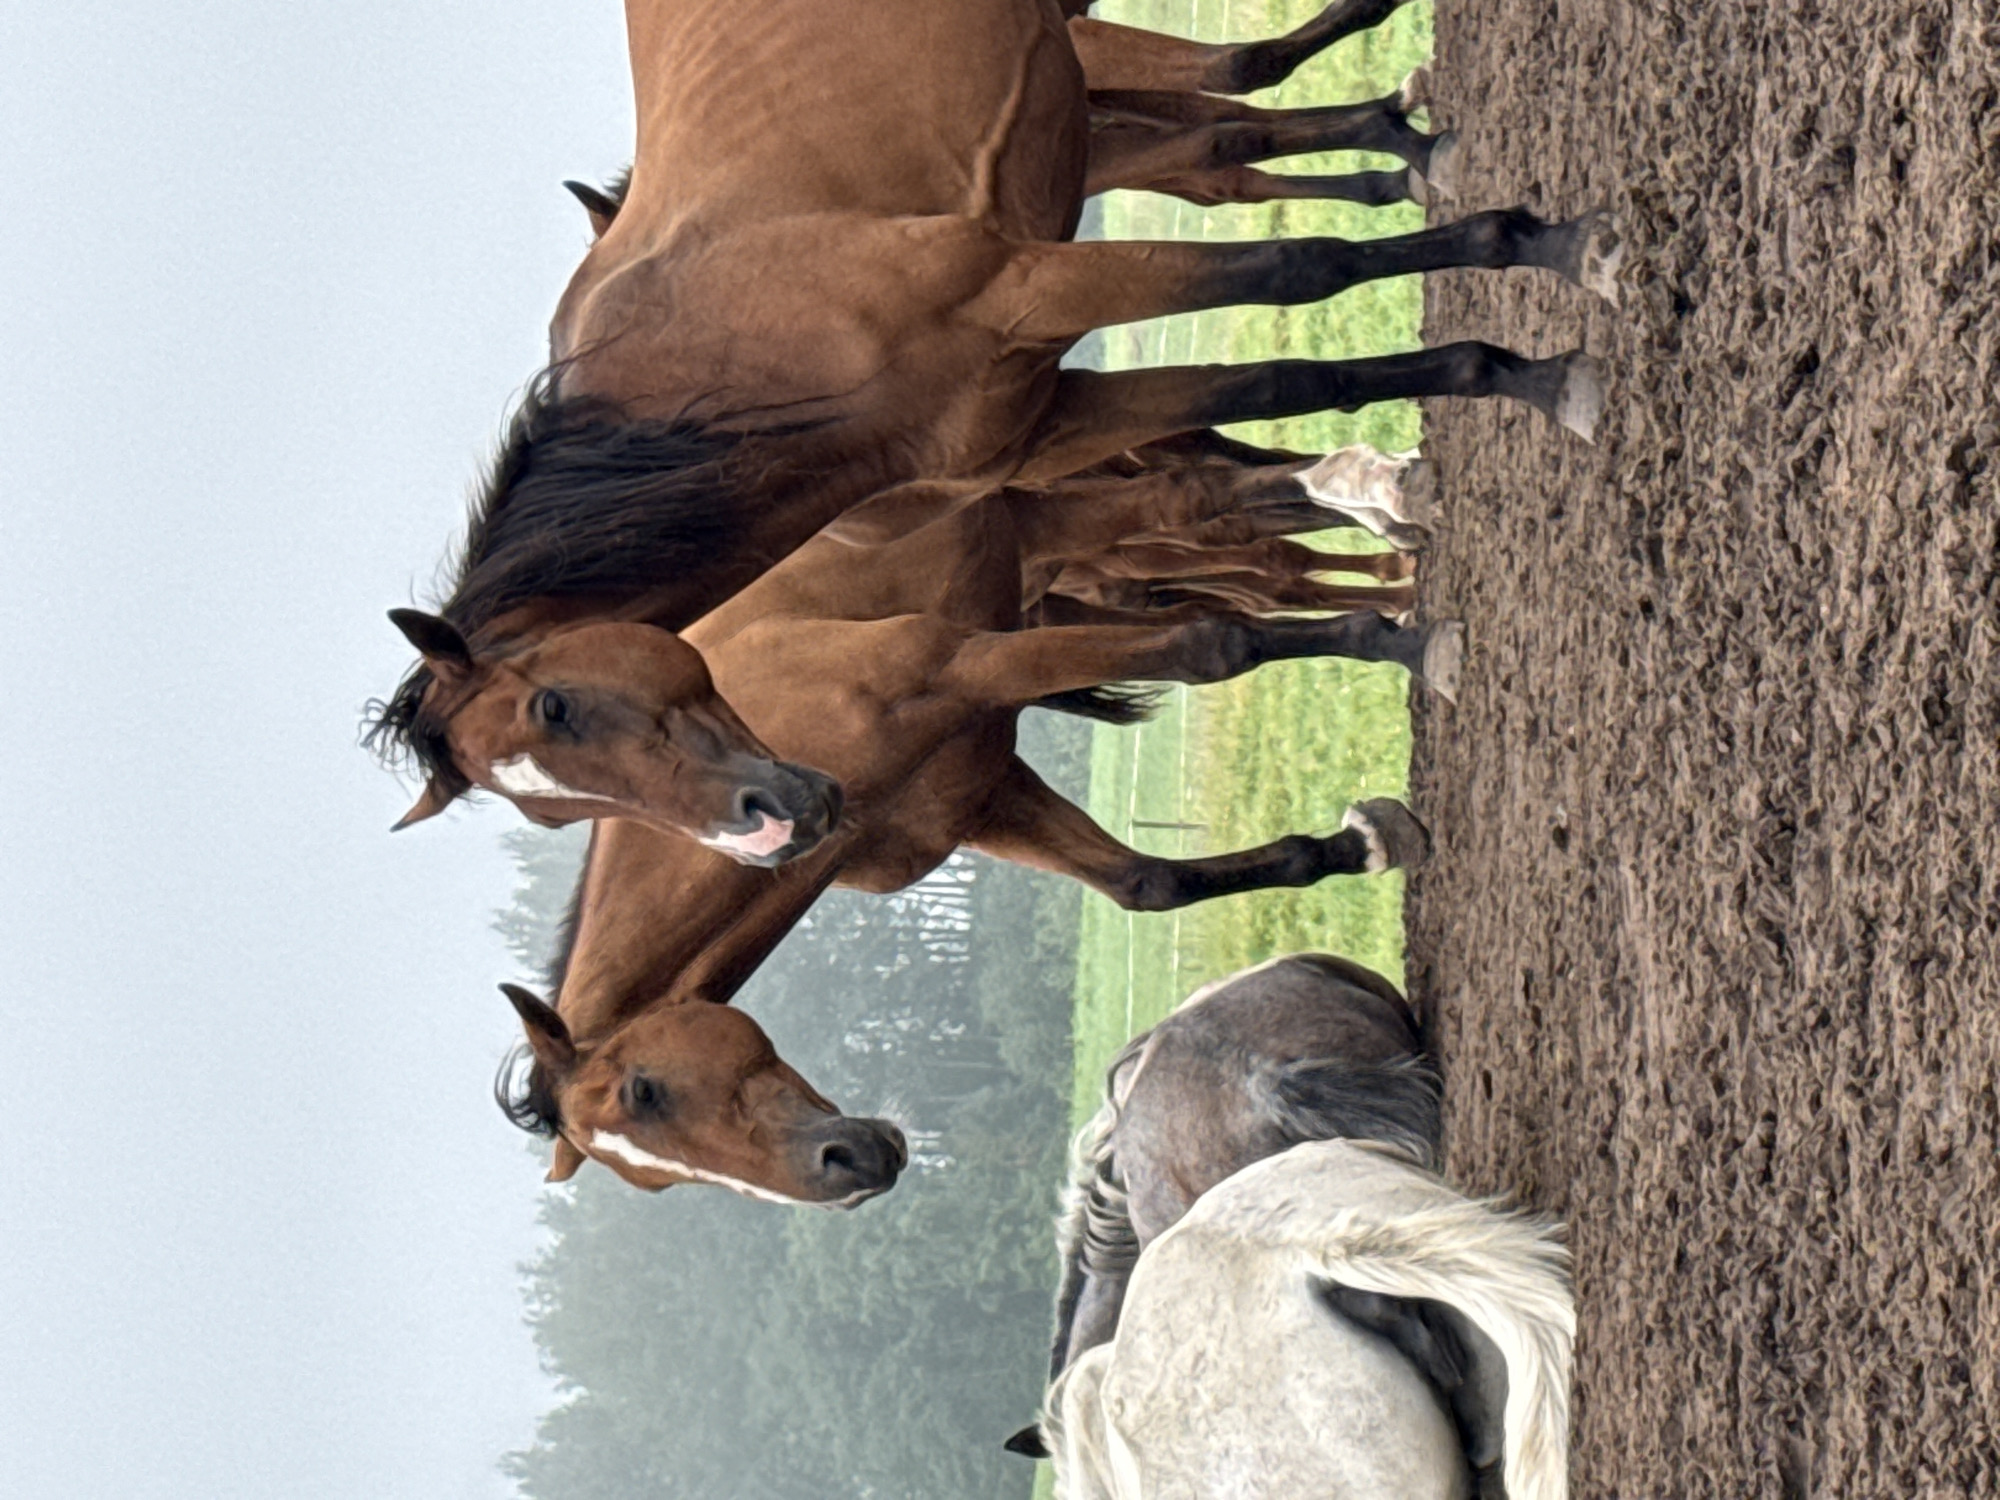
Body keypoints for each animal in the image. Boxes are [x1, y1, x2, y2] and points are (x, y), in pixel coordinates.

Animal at [366, 0, 1620, 830]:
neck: (738, 356)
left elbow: (1292, 263)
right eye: (556, 811)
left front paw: (1546, 272)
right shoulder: (1040, 422)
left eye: (561, 706)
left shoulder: (1034, 287)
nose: (772, 821)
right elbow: (1257, 420)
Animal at [490, 493, 1444, 1203]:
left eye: (646, 1090)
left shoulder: (966, 665)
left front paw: (1408, 642)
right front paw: (1362, 840)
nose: (845, 1172)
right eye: (655, 1180)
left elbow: (1213, 643)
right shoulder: (977, 796)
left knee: (1252, 544)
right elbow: (1144, 884)